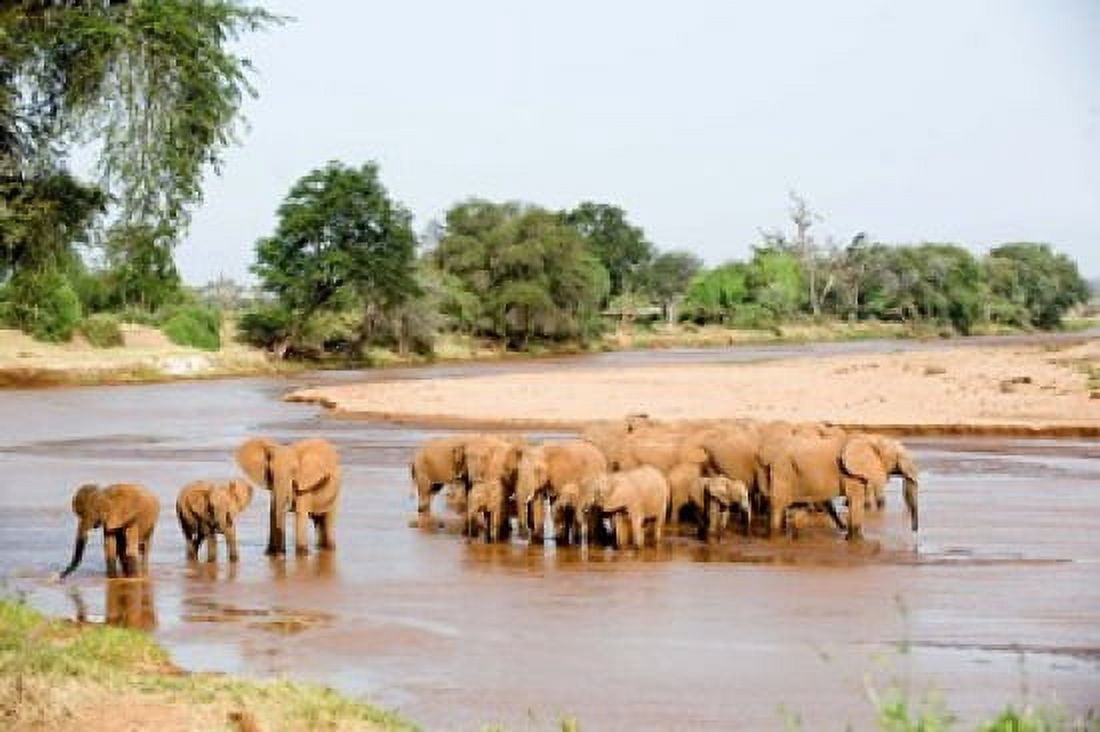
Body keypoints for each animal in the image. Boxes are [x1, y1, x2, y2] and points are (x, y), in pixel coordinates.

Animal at [762, 432, 919, 540]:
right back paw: (776, 535)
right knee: (778, 506)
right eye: (900, 456)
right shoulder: (851, 474)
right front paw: (854, 540)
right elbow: (856, 501)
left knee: (799, 509)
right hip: (783, 471)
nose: (914, 531)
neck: (872, 439)